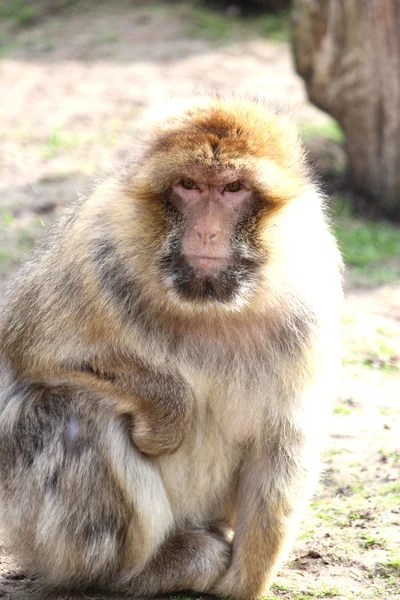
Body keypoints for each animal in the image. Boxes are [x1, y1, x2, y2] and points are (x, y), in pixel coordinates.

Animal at [0, 96, 344, 596]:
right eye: (188, 185)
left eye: (233, 188)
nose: (206, 232)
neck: (209, 303)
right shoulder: (94, 248)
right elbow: (25, 349)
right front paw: (168, 415)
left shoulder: (310, 293)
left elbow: (284, 438)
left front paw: (244, 584)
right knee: (78, 412)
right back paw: (147, 570)